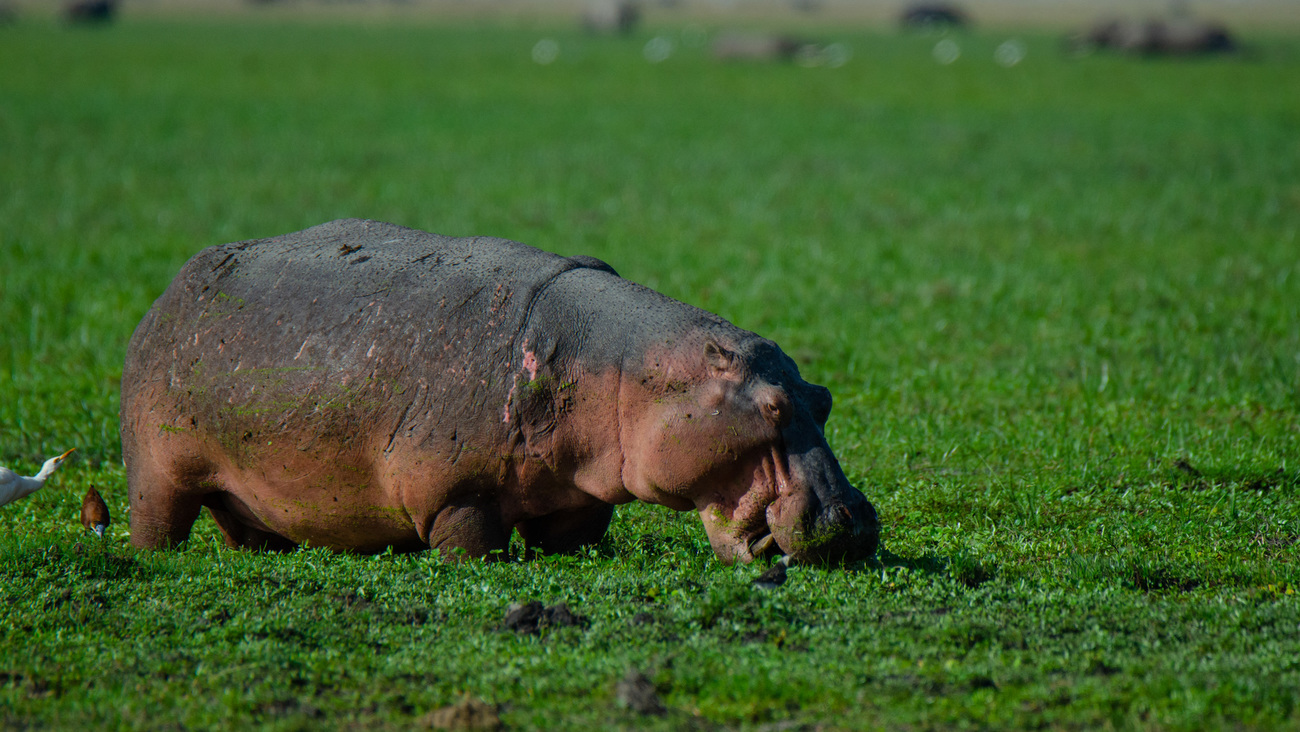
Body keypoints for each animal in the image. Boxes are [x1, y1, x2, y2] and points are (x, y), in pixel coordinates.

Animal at [122, 221, 878, 564]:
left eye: (823, 397)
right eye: (774, 407)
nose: (852, 520)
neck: (628, 368)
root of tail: (172, 290)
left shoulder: (579, 501)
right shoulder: (456, 497)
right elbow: (474, 547)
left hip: (246, 498)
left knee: (249, 532)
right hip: (158, 470)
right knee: (157, 524)